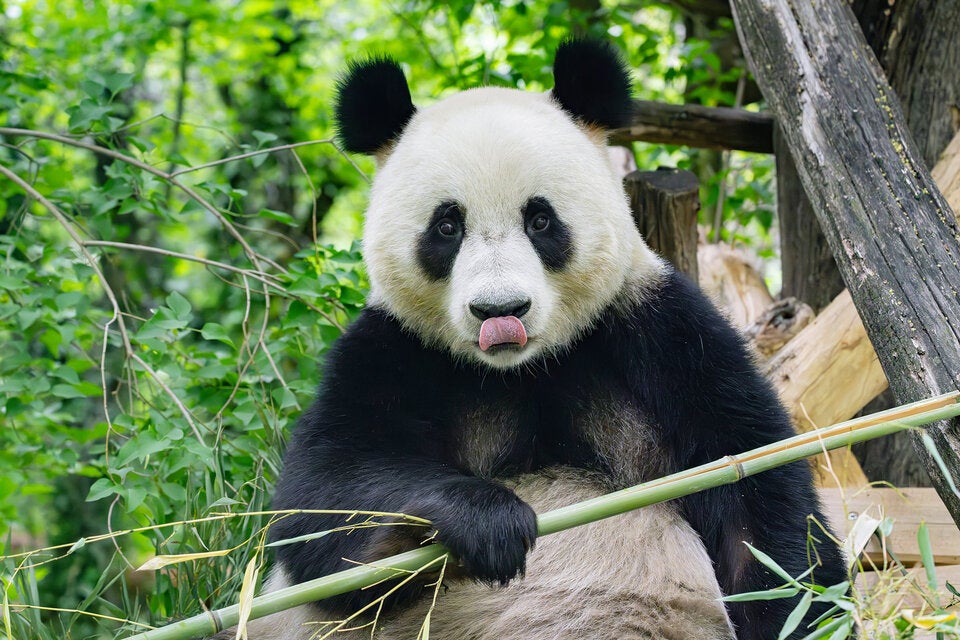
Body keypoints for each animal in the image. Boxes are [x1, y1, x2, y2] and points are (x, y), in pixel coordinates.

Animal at [239, 40, 846, 640]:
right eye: (446, 227)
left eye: (540, 220)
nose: (500, 311)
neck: (522, 369)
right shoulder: (393, 350)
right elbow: (324, 499)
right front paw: (487, 522)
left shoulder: (658, 332)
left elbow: (756, 489)